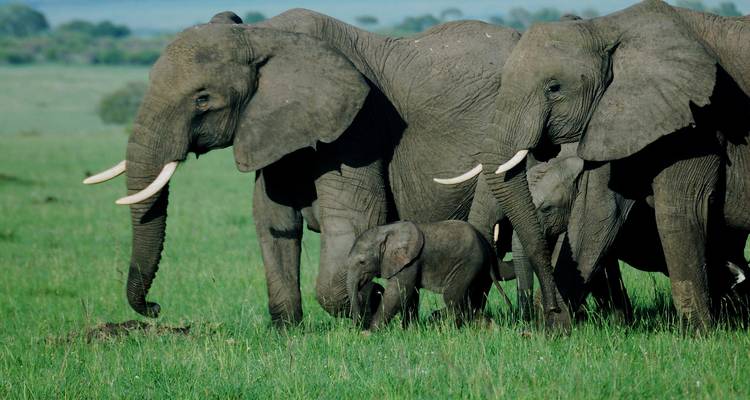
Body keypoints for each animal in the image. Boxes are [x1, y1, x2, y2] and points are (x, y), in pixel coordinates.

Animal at [346, 220, 510, 330]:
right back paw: (488, 326)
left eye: (362, 262)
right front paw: (410, 330)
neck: (386, 231)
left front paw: (369, 333)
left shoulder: (410, 262)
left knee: (452, 298)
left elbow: (398, 293)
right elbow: (411, 294)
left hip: (467, 264)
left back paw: (438, 321)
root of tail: (486, 246)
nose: (356, 327)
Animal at [437, 0, 750, 328]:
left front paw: (699, 332)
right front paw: (554, 330)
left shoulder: (698, 121)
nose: (537, 312)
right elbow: (599, 214)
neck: (606, 27)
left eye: (554, 88)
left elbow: (682, 209)